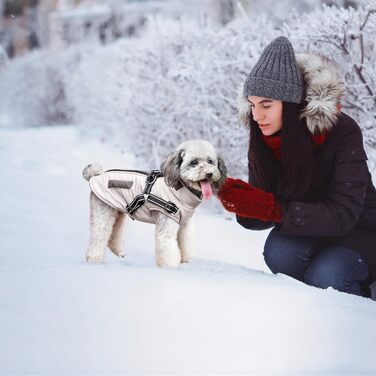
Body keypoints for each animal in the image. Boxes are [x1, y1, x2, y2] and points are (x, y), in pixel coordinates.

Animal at [82, 140, 226, 266]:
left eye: (210, 161)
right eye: (194, 162)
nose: (209, 173)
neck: (180, 189)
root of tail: (95, 176)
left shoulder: (185, 225)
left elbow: (186, 243)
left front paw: (186, 262)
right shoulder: (167, 224)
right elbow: (167, 249)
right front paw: (171, 267)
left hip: (118, 213)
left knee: (113, 236)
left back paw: (119, 253)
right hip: (103, 212)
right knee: (98, 237)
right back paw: (94, 260)